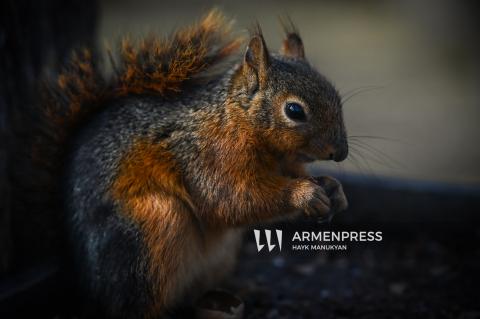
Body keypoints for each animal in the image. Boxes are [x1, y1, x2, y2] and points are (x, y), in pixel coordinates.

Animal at [27, 8, 348, 318]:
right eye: (294, 110)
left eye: (335, 94)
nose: (341, 153)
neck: (237, 121)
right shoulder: (210, 157)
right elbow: (232, 199)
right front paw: (304, 194)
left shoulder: (284, 163)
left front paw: (333, 189)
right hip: (146, 232)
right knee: (132, 304)